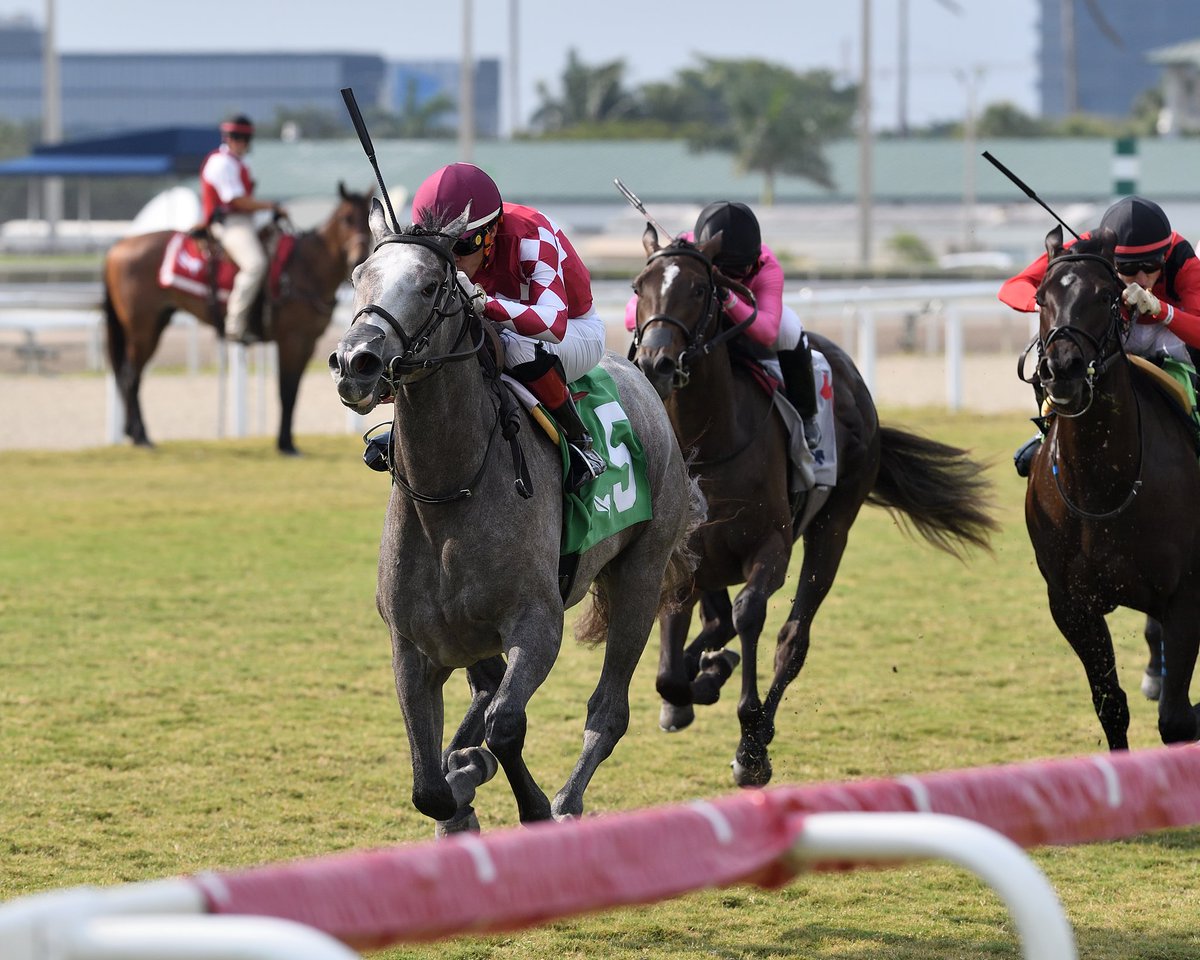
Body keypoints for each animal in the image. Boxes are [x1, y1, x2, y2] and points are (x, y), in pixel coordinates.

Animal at [105, 183, 372, 453]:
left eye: (366, 220)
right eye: (346, 218)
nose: (357, 258)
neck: (305, 267)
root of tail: (118, 248)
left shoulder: (308, 342)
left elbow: (294, 390)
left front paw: (287, 441)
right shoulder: (291, 340)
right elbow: (286, 390)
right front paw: (285, 444)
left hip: (156, 324)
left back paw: (133, 432)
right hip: (142, 330)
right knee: (131, 377)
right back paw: (141, 436)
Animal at [328, 200, 700, 830]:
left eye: (430, 285)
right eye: (358, 277)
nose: (356, 362)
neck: (450, 493)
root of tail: (642, 374)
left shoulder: (537, 623)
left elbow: (505, 726)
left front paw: (526, 802)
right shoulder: (413, 645)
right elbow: (427, 786)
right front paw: (458, 785)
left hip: (640, 576)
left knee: (607, 711)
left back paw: (566, 801)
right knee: (486, 692)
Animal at [628, 229, 993, 792]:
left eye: (699, 288)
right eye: (639, 286)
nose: (655, 364)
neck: (711, 443)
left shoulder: (770, 548)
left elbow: (751, 615)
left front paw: (749, 740)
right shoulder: (684, 554)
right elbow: (670, 669)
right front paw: (697, 682)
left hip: (833, 528)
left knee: (791, 637)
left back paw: (753, 731)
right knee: (715, 623)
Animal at [1022, 226, 1200, 748]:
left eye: (1106, 295)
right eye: (1040, 297)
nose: (1062, 369)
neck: (1103, 486)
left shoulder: (1186, 594)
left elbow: (1177, 719)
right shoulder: (1070, 604)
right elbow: (1111, 706)